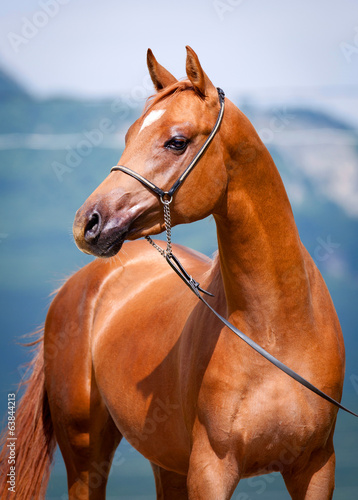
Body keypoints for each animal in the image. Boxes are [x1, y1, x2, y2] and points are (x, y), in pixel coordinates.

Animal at [0, 47, 346, 500]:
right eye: (129, 135)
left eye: (176, 141)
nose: (88, 223)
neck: (278, 330)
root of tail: (79, 285)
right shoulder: (211, 470)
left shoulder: (316, 467)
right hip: (85, 452)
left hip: (166, 461)